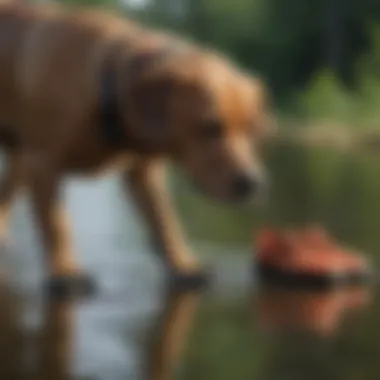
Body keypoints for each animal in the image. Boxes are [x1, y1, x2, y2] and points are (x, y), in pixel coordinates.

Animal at [0, 1, 272, 290]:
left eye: (253, 130)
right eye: (209, 127)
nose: (253, 184)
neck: (105, 85)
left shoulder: (144, 173)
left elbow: (165, 222)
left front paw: (182, 265)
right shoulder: (44, 165)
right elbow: (57, 224)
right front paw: (64, 271)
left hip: (20, 159)